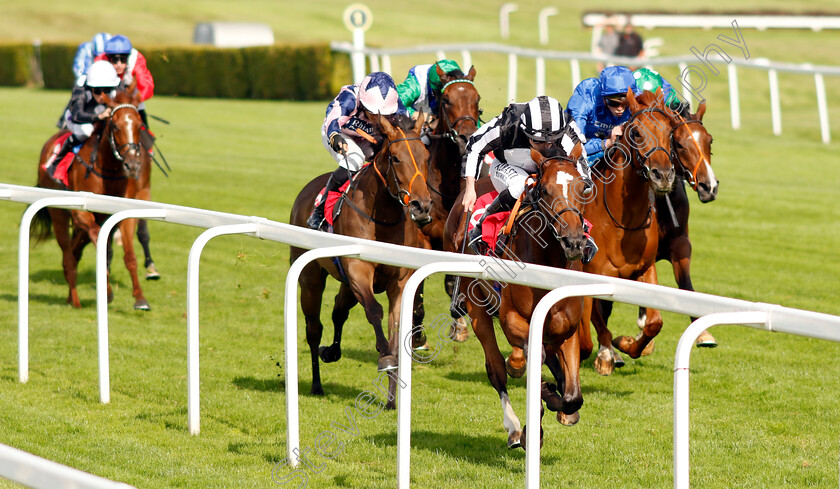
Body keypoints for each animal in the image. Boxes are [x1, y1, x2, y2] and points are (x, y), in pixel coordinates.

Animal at [31, 88, 153, 308]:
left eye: (139, 125)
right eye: (115, 125)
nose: (132, 164)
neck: (108, 170)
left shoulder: (121, 213)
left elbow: (129, 255)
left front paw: (140, 298)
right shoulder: (81, 214)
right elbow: (99, 241)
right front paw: (108, 290)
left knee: (74, 250)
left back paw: (70, 294)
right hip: (58, 213)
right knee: (68, 253)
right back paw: (75, 300)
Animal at [290, 112, 434, 406]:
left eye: (426, 156)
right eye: (395, 158)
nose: (422, 206)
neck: (383, 218)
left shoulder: (398, 282)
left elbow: (395, 324)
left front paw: (391, 398)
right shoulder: (358, 270)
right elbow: (375, 311)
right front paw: (385, 357)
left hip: (345, 283)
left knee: (338, 310)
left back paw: (331, 351)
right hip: (310, 278)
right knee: (314, 328)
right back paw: (317, 384)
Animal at [442, 141, 588, 446]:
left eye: (582, 187)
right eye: (545, 190)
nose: (574, 241)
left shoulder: (567, 328)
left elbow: (572, 396)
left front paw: (559, 403)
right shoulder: (512, 321)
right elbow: (534, 362)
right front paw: (542, 397)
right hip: (477, 309)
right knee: (496, 368)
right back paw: (514, 426)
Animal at [580, 88, 680, 374]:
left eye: (670, 132)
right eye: (636, 132)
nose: (663, 175)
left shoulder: (645, 268)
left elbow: (654, 322)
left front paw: (625, 344)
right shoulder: (589, 272)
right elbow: (592, 324)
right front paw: (606, 353)